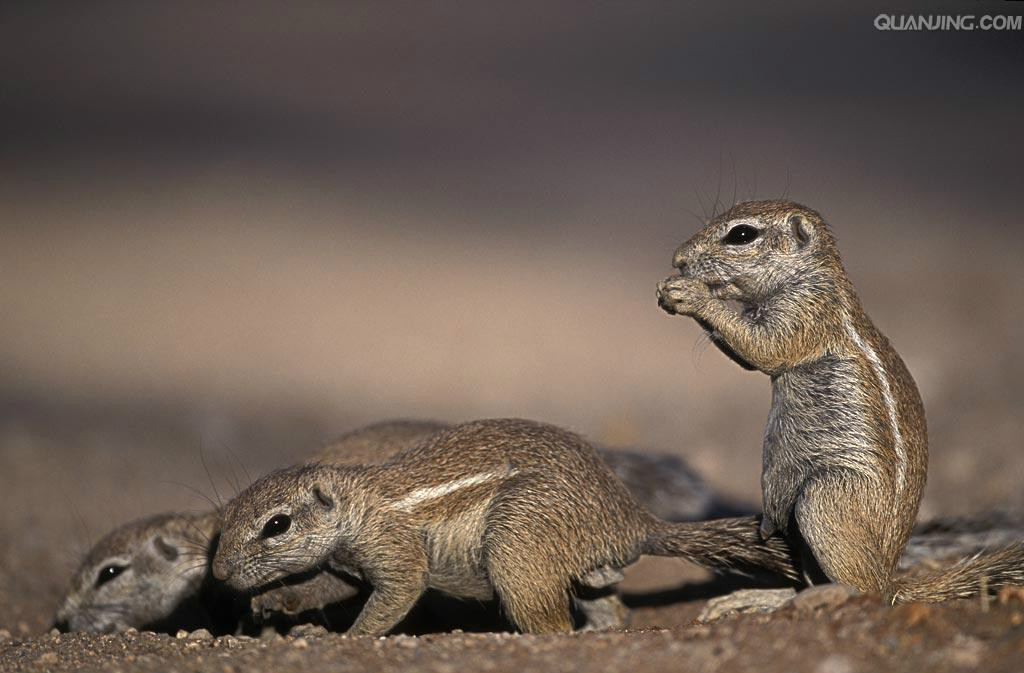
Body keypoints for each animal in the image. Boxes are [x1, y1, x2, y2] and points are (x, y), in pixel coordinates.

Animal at [209, 417, 798, 631]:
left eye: (277, 524)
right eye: (225, 517)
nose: (219, 574)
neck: (358, 503)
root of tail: (634, 520)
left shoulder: (394, 551)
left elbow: (396, 595)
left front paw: (353, 638)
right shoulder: (346, 563)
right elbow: (322, 586)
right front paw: (272, 602)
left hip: (518, 540)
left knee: (550, 621)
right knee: (608, 604)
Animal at [655, 197, 1024, 598]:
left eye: (741, 234)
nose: (678, 259)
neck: (811, 276)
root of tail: (892, 578)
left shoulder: (805, 312)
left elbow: (763, 350)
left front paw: (690, 294)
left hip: (825, 499)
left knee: (865, 590)